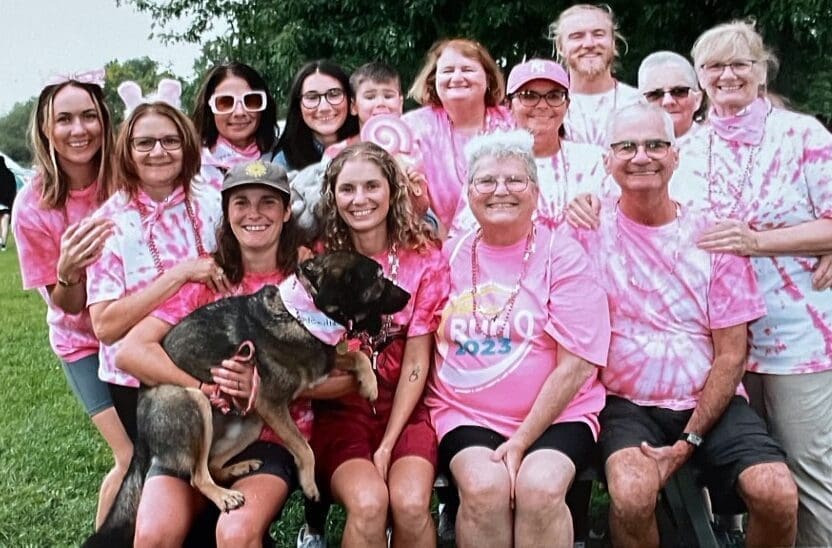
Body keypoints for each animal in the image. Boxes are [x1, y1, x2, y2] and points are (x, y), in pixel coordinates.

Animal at [84, 250, 410, 544]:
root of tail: (140, 430)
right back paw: (223, 496)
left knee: (213, 464)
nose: (407, 296)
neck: (304, 314)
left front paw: (369, 383)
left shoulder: (322, 363)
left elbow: (356, 355)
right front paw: (309, 484)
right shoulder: (271, 403)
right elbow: (305, 448)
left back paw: (239, 467)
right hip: (195, 401)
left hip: (251, 422)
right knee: (198, 475)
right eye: (379, 279)